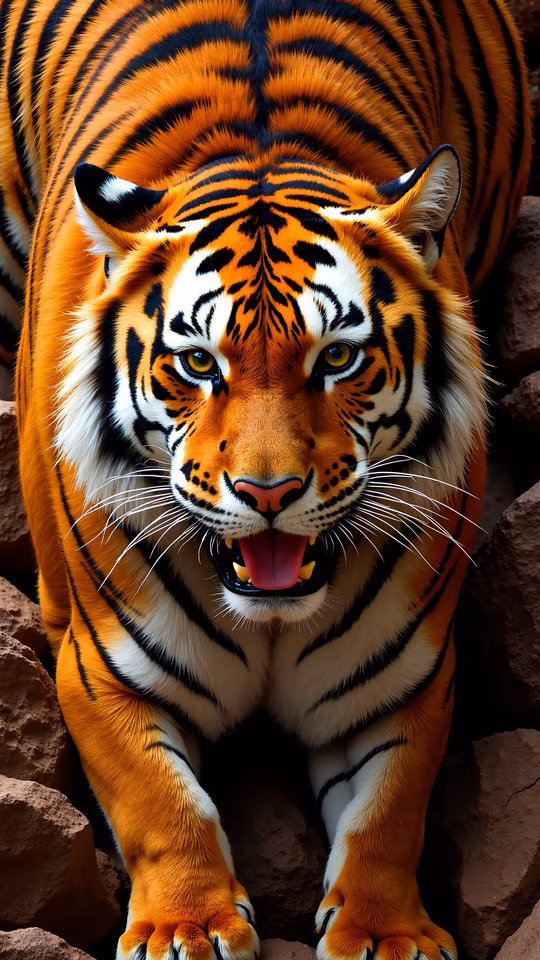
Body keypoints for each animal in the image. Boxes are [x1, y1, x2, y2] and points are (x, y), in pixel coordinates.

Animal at [0, 0, 530, 957]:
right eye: (197, 363)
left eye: (339, 358)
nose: (270, 495)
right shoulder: (99, 661)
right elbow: (158, 799)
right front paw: (186, 925)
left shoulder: (401, 676)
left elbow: (390, 810)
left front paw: (386, 934)